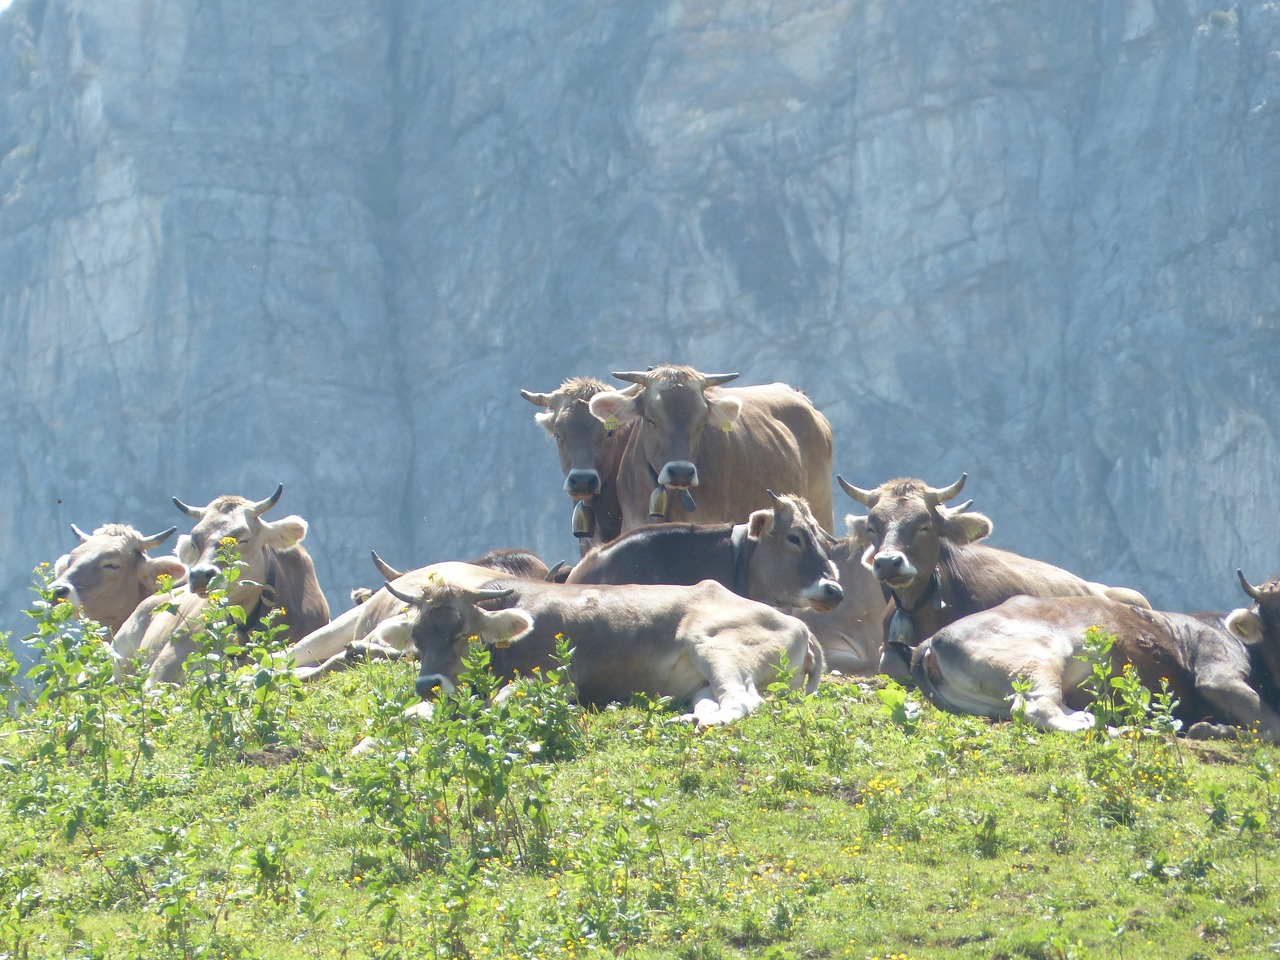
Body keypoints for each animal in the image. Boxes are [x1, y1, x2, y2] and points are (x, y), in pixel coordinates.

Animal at [384, 568, 819, 727]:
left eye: (462, 634)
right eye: (417, 638)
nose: (427, 684)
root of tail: (798, 623)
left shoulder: (556, 681)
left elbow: (500, 702)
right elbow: (404, 715)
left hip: (714, 644)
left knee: (742, 700)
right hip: (700, 682)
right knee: (710, 699)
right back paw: (686, 718)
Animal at [911, 570, 1280, 742]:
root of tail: (929, 641)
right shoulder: (1218, 674)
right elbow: (1271, 725)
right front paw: (1211, 729)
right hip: (1037, 656)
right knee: (1038, 709)